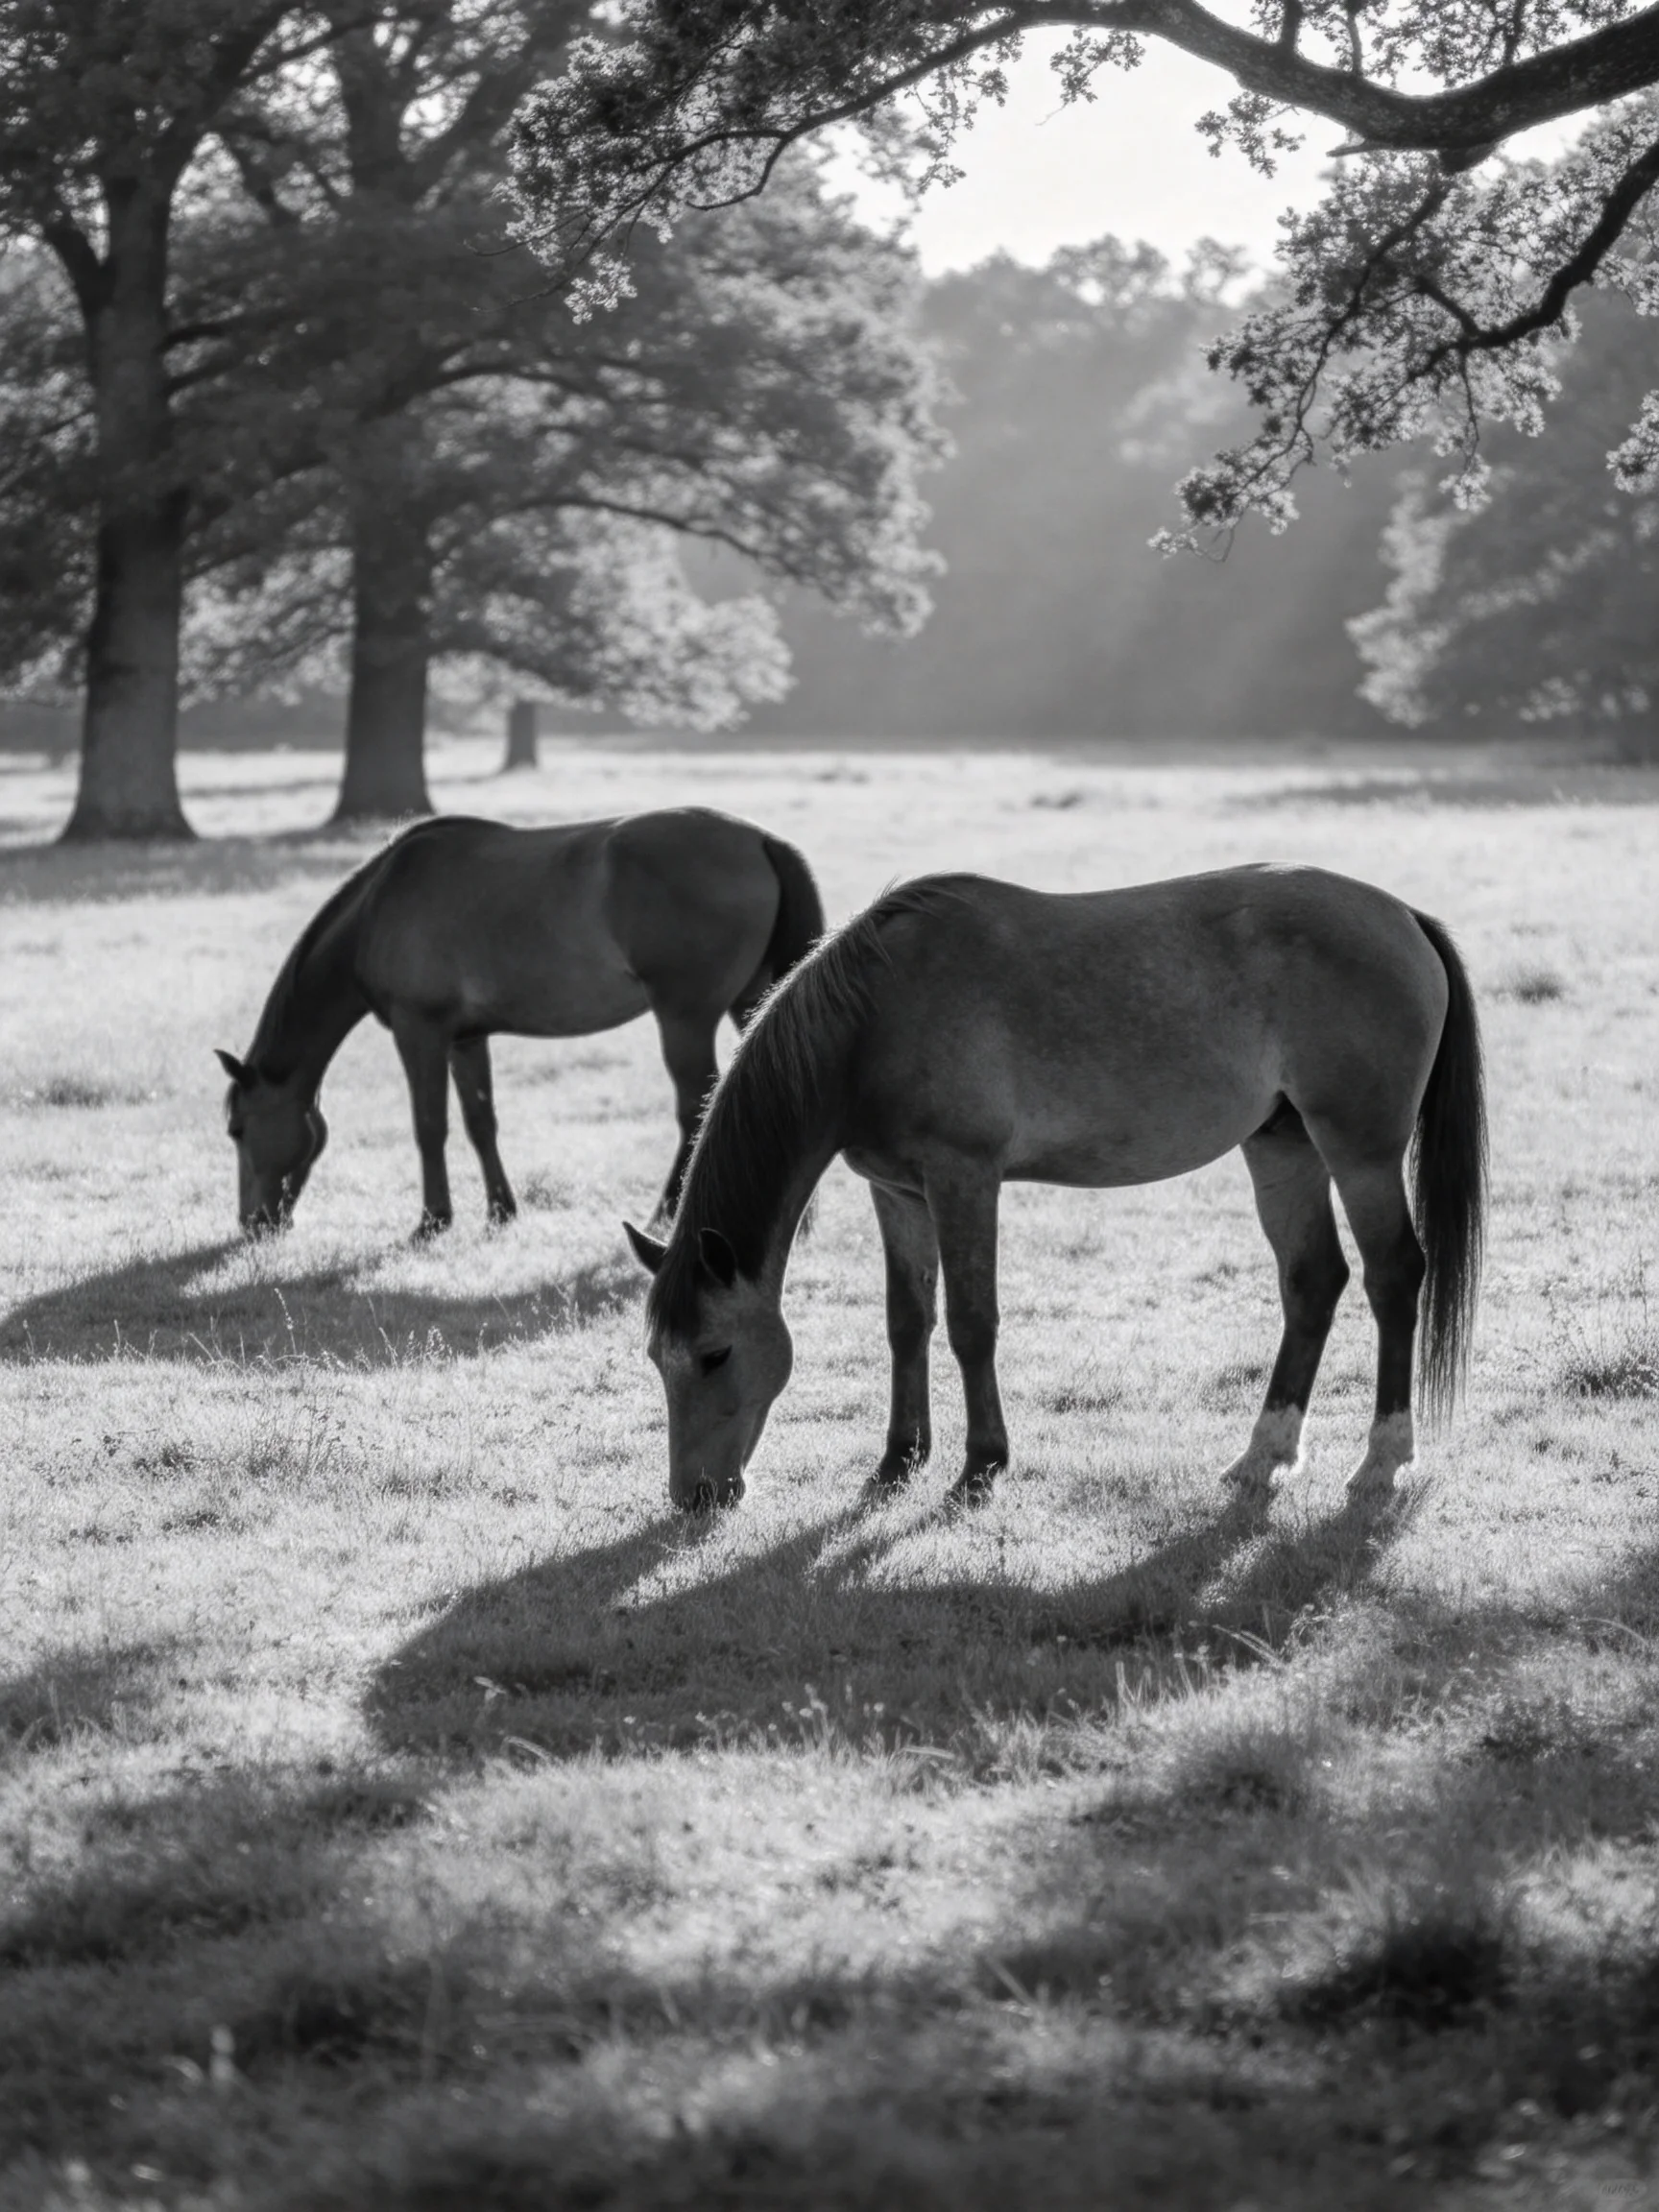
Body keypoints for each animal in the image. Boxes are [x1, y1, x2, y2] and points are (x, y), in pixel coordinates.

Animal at [217, 808, 824, 1236]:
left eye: (237, 1130)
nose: (253, 1225)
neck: (378, 909)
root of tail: (761, 841)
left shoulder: (421, 1032)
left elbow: (429, 1125)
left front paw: (433, 1220)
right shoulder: (465, 1039)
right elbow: (479, 1122)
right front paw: (500, 1210)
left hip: (685, 1018)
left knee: (697, 1104)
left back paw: (669, 1211)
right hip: (753, 1003)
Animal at [624, 864, 1487, 1513]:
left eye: (714, 1354)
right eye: (659, 1359)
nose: (695, 1496)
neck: (874, 1017)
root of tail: (1403, 916)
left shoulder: (964, 1179)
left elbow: (972, 1324)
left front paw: (981, 1465)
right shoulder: (897, 1193)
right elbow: (907, 1322)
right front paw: (898, 1460)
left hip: (1360, 1152)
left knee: (1393, 1276)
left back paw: (1382, 1460)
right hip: (1283, 1147)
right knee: (1313, 1282)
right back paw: (1261, 1456)